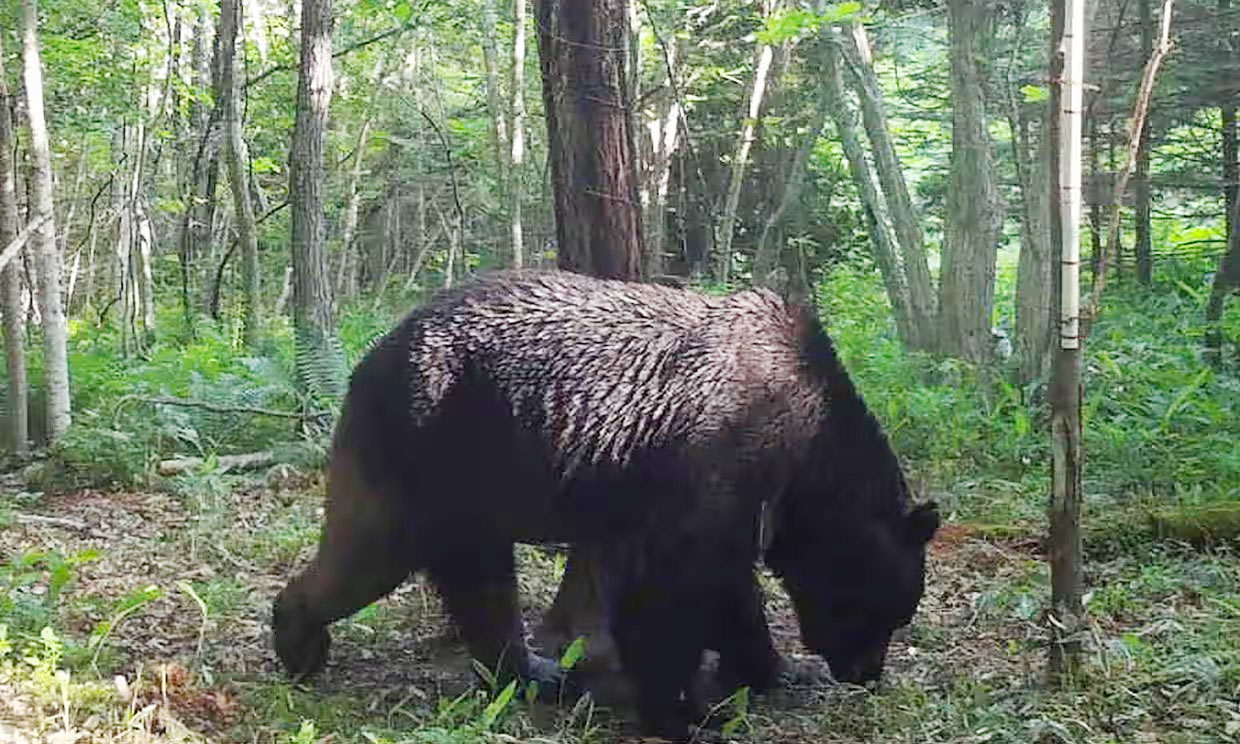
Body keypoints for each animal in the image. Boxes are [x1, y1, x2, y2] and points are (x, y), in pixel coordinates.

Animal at [276, 270, 937, 739]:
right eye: (889, 612)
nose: (866, 672)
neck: (806, 453)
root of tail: (373, 351)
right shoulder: (718, 460)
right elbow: (680, 588)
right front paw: (684, 713)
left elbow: (720, 590)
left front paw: (769, 669)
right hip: (433, 444)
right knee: (376, 552)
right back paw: (298, 638)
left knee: (473, 581)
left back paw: (532, 672)